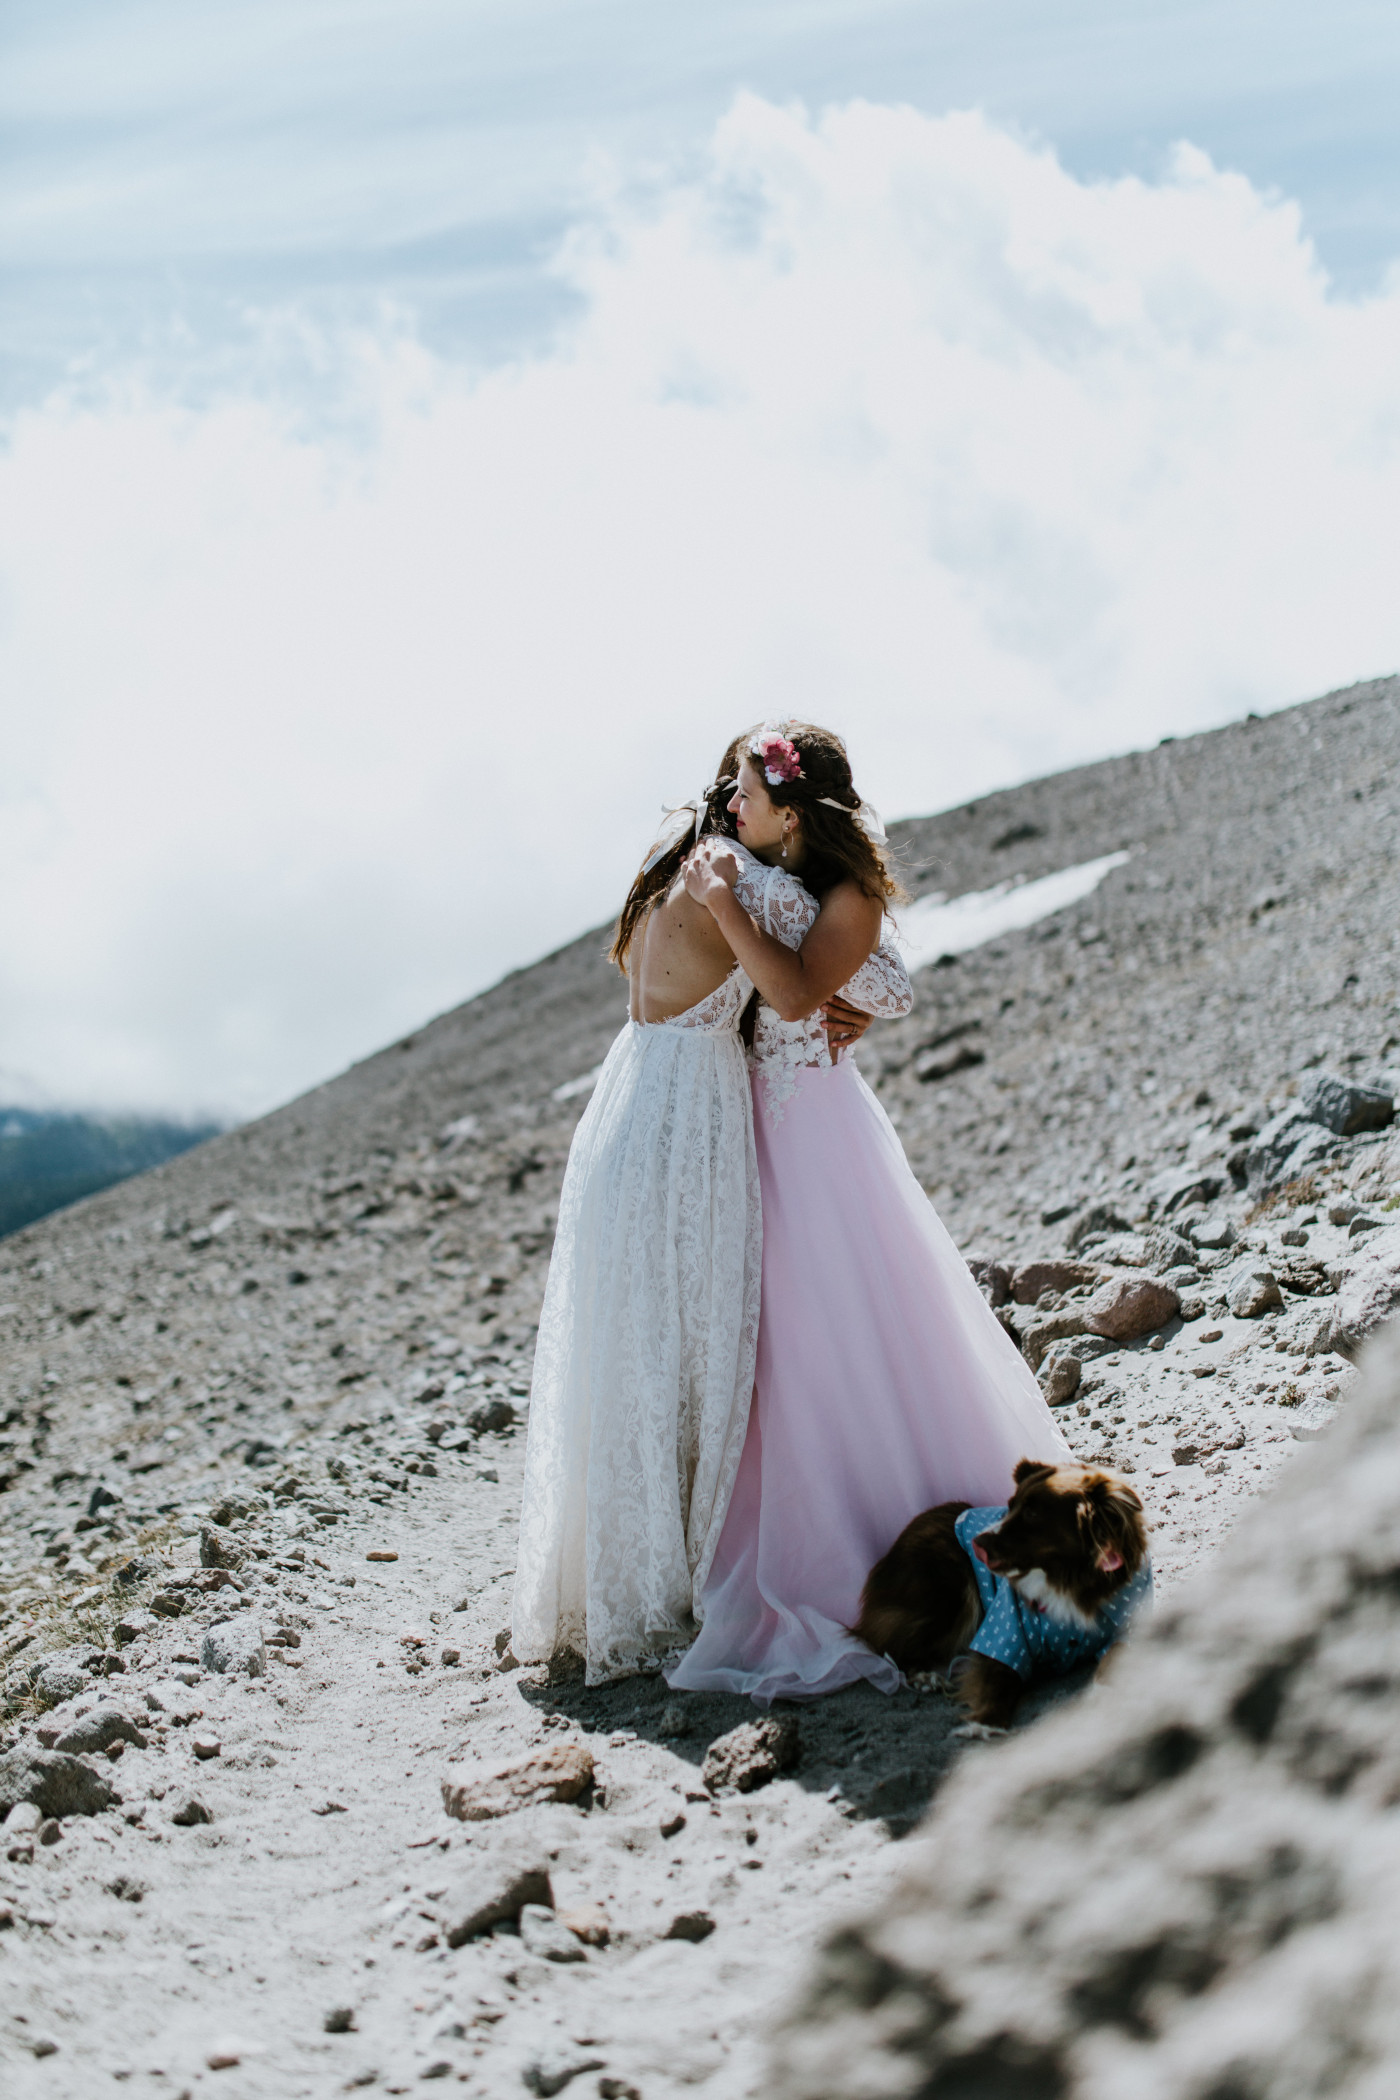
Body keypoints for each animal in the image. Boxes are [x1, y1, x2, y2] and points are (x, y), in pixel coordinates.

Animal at [856, 1453, 1150, 1730]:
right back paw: (924, 1677)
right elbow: (998, 1679)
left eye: (1032, 1514)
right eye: (1009, 1507)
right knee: (887, 1644)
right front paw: (985, 1725)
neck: (1067, 1578)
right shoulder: (1004, 1633)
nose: (976, 1544)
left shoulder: (1126, 1630)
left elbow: (1112, 1661)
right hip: (948, 1594)